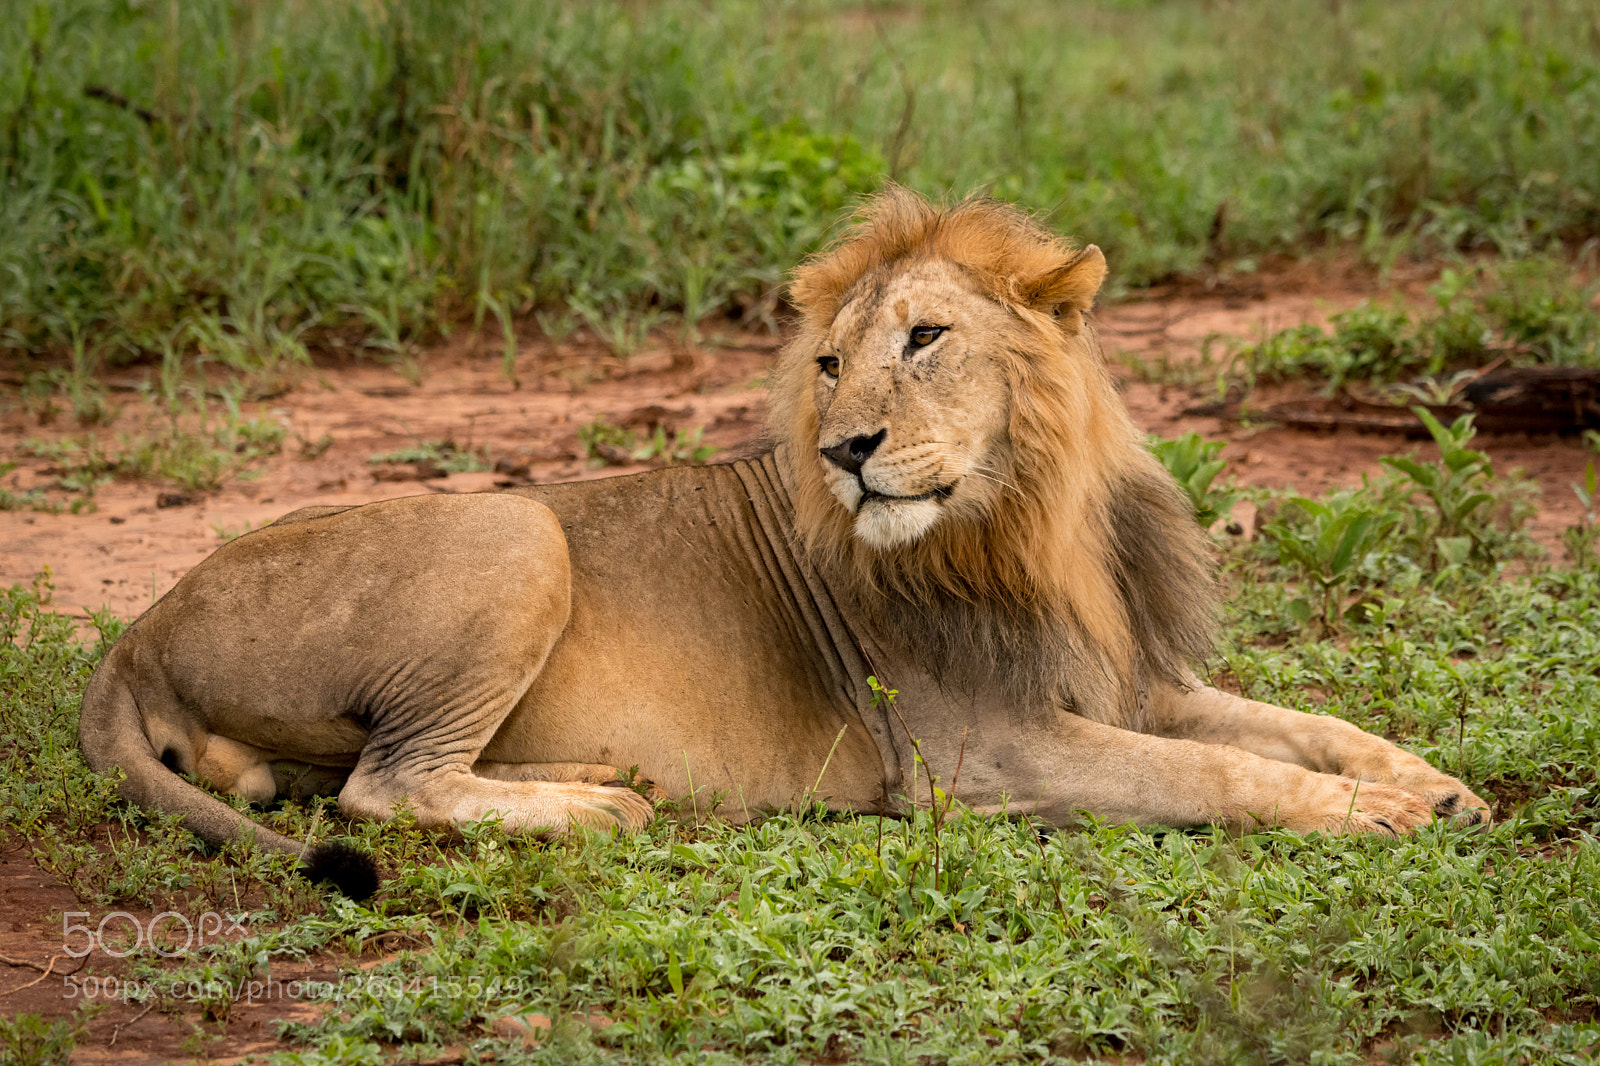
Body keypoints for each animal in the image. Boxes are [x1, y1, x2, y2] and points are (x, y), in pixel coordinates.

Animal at [78, 188, 1488, 897]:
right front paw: (1372, 816)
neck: (1032, 519)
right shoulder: (985, 754)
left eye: (924, 338)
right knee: (385, 787)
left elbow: (1301, 725)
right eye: (825, 365)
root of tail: (138, 625)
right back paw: (601, 806)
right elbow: (1219, 774)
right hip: (516, 521)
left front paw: (1434, 785)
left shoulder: (1134, 681)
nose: (847, 449)